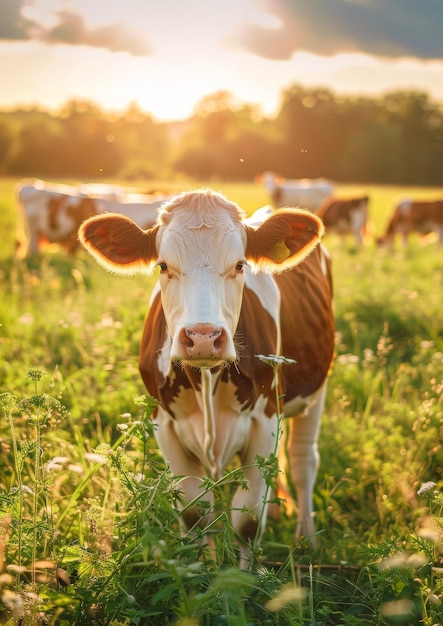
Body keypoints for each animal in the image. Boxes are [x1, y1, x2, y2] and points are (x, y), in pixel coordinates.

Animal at [80, 188, 336, 564]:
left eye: (240, 265)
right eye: (163, 265)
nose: (203, 337)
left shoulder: (264, 420)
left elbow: (247, 520)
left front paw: (245, 576)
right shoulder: (165, 426)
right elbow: (195, 513)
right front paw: (198, 568)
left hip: (316, 391)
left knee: (303, 461)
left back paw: (307, 539)